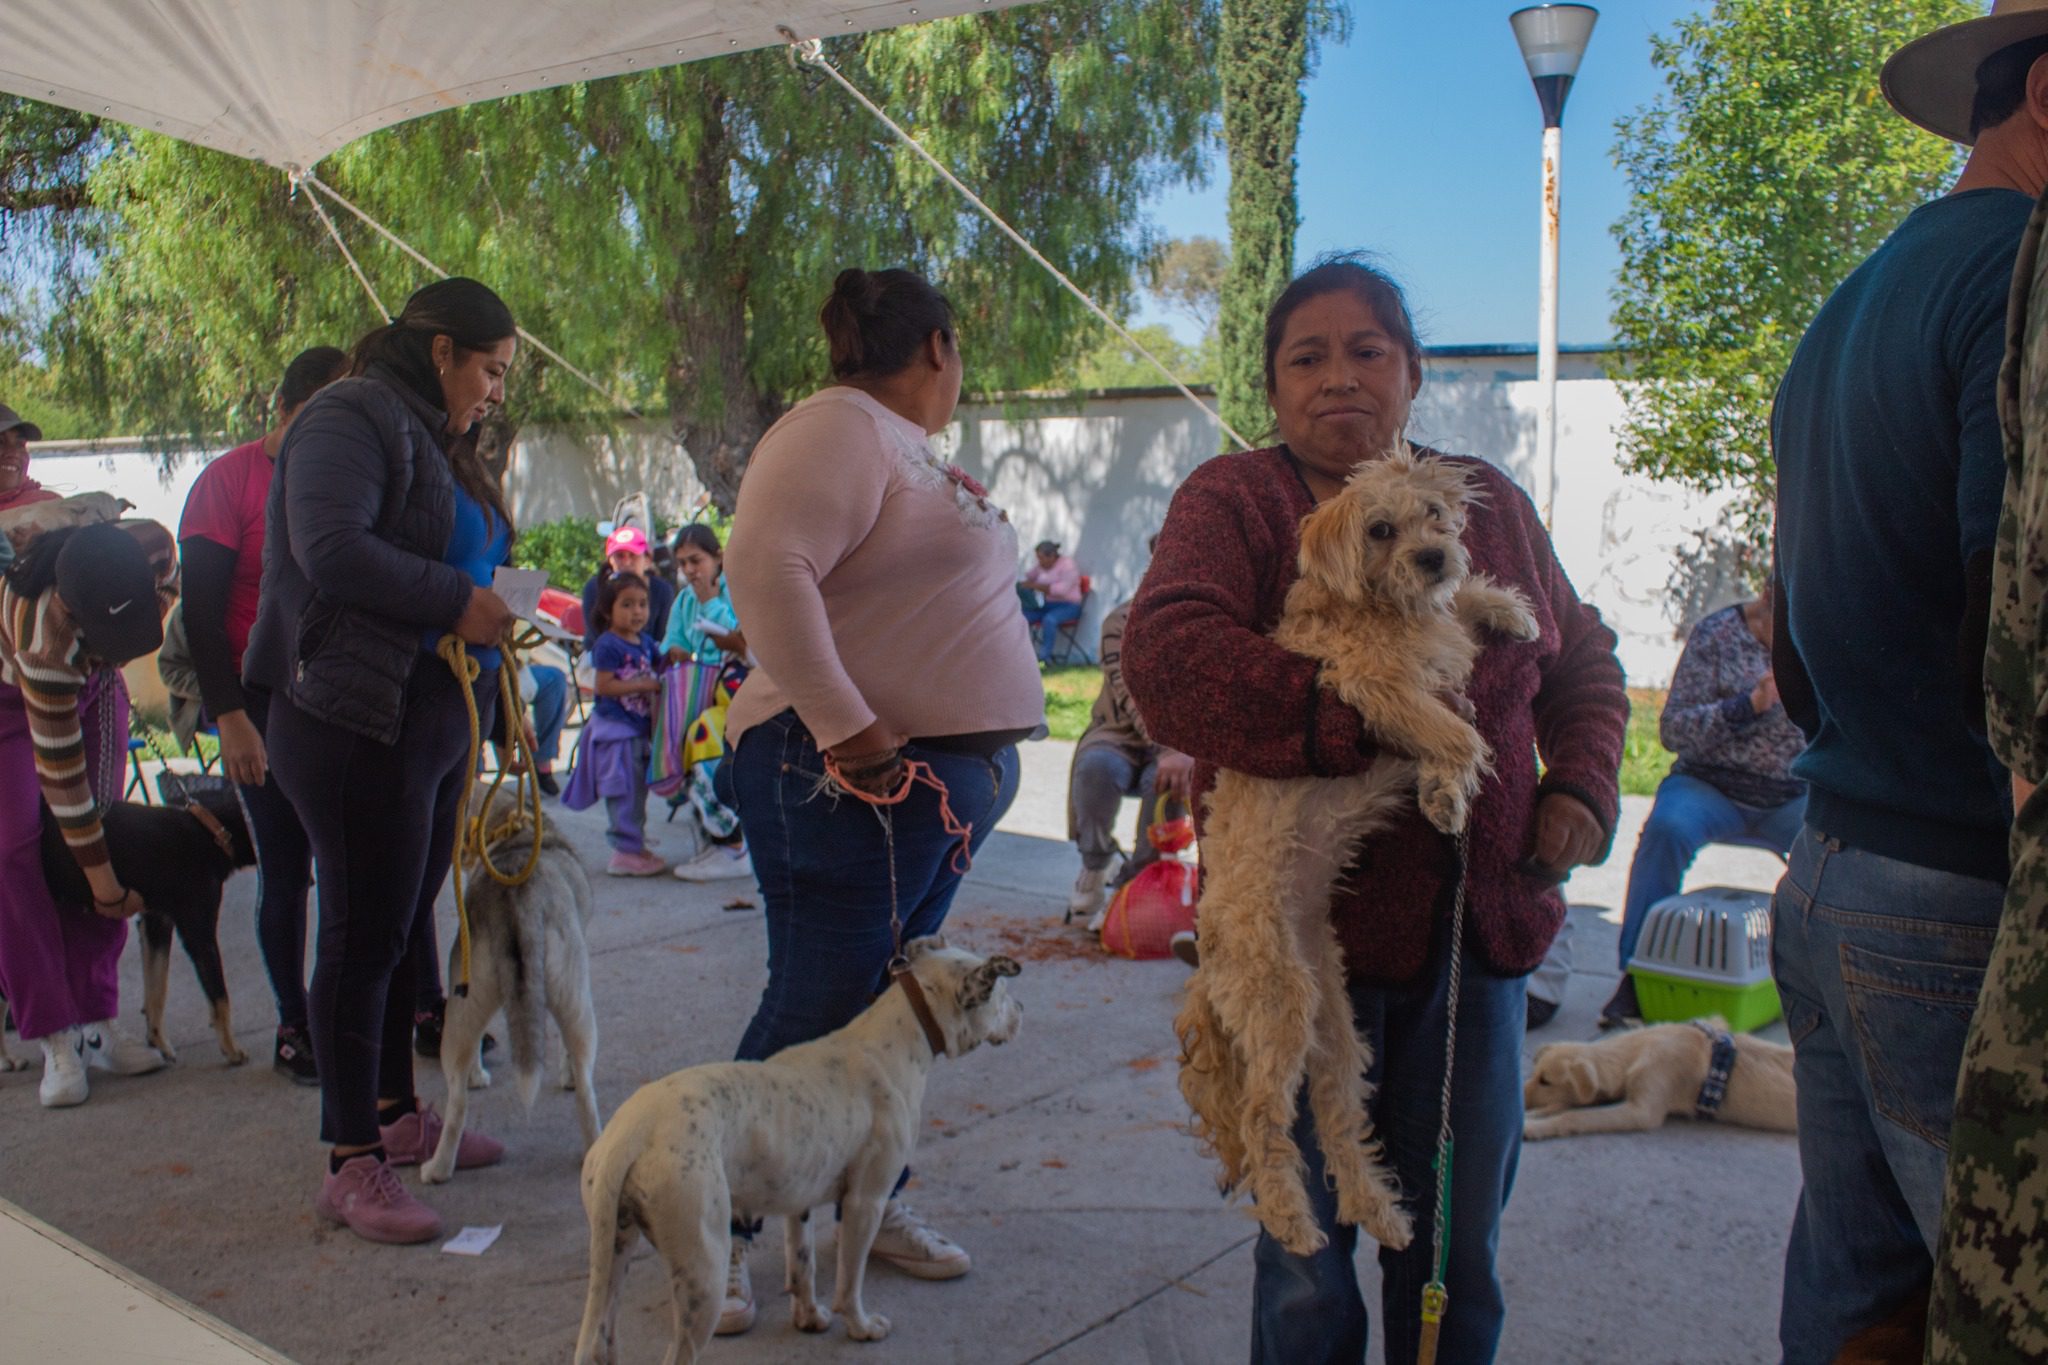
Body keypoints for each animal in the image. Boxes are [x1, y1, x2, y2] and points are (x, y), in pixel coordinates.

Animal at [37, 785, 256, 1064]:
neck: (211, 828)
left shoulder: (156, 923)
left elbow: (156, 989)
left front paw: (158, 1041)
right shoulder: (199, 932)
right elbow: (219, 996)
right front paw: (231, 1049)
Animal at [421, 789, 598, 1186]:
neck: (515, 826)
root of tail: (517, 896)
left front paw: (477, 1074)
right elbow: (565, 1052)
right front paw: (565, 1074)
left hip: (462, 1007)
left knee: (457, 1101)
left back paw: (439, 1168)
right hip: (577, 1003)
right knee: (586, 1090)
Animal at [573, 941, 1019, 1365]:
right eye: (1002, 994)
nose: (1023, 1010)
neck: (900, 1031)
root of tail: (633, 1131)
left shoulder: (797, 1201)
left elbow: (804, 1264)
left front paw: (809, 1318)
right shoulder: (866, 1202)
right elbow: (849, 1280)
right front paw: (860, 1326)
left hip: (615, 1249)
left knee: (603, 1338)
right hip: (703, 1270)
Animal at [1171, 448, 1540, 1260]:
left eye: (1434, 515)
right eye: (1379, 530)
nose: (1433, 557)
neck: (1384, 610)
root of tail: (1209, 955)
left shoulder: (1425, 659)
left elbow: (1461, 621)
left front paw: (1507, 608)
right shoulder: (1371, 689)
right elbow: (1458, 732)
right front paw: (1451, 791)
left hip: (1338, 1029)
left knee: (1339, 1122)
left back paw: (1383, 1213)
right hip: (1281, 1004)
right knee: (1264, 1121)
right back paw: (1290, 1219)